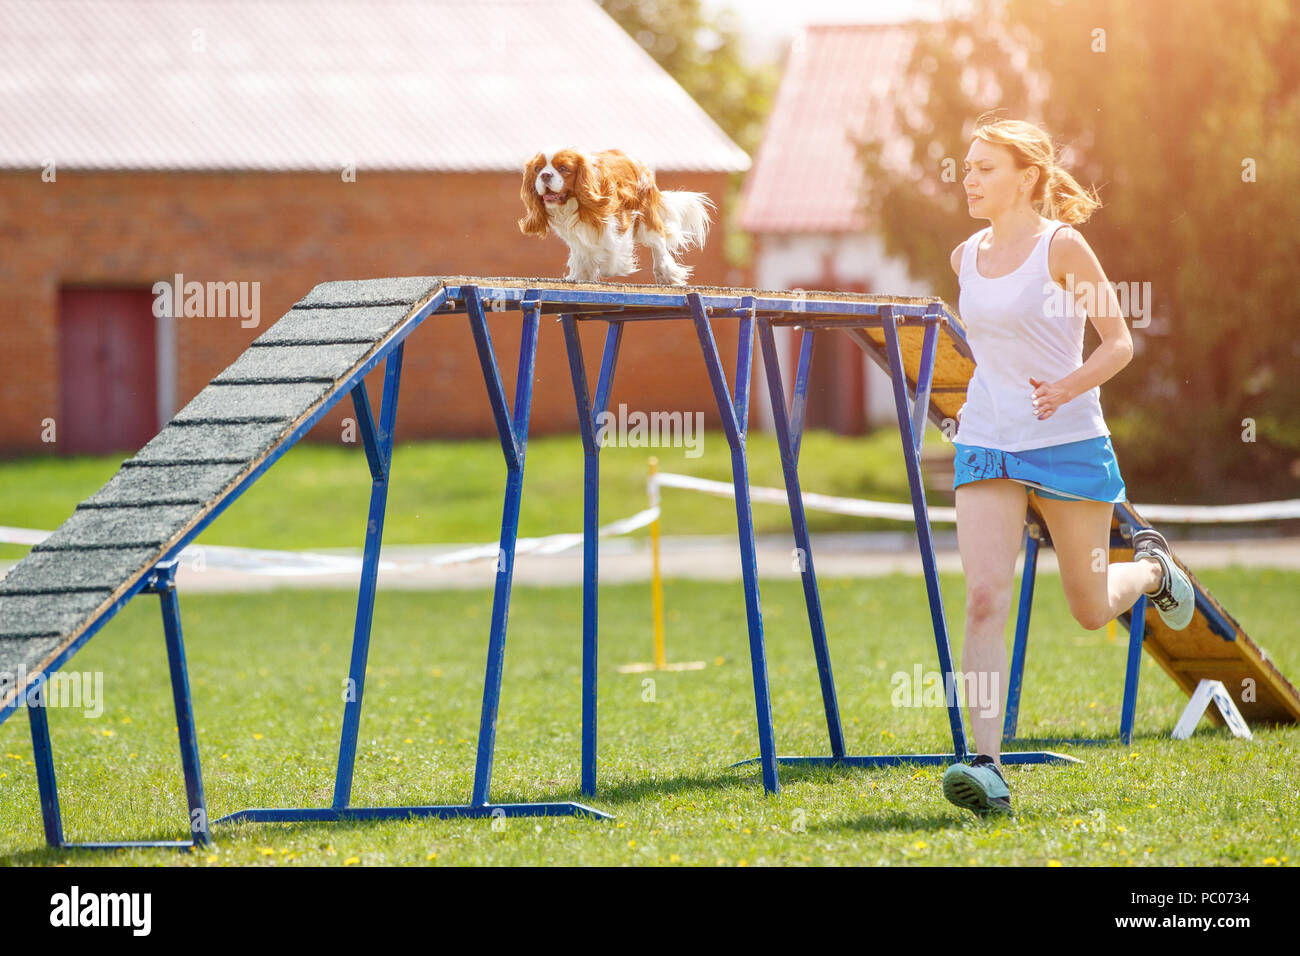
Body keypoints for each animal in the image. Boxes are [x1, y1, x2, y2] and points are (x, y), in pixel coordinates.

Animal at [517, 147, 717, 286]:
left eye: (564, 168)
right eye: (537, 169)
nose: (545, 175)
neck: (576, 203)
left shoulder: (619, 221)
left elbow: (611, 251)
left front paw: (612, 266)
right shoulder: (576, 238)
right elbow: (581, 256)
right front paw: (580, 276)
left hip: (646, 218)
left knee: (658, 241)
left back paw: (665, 273)